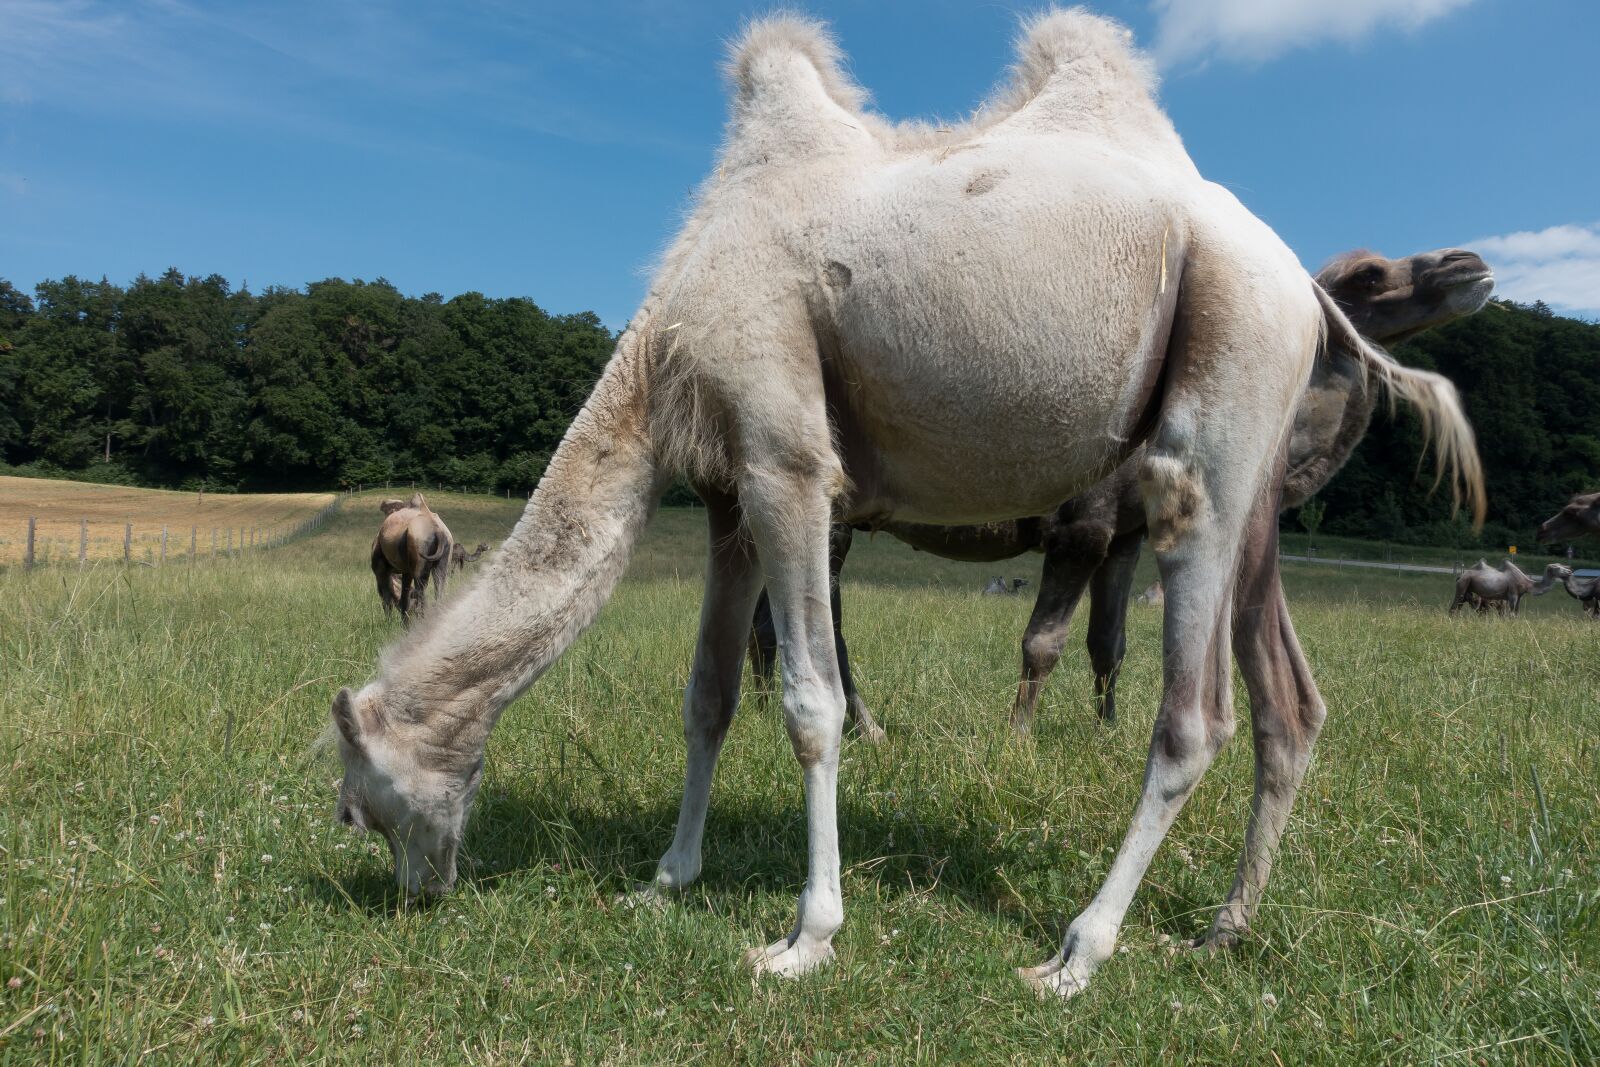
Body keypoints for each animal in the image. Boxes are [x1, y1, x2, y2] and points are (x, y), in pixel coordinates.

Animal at [370, 493, 454, 625]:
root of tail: (438, 532)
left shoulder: (380, 568)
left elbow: (387, 599)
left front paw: (389, 624)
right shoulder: (406, 571)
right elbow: (404, 598)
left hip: (419, 557)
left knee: (420, 593)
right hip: (444, 559)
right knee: (438, 589)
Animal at [749, 244, 1493, 729]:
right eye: (1370, 274)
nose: (1470, 263)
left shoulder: (1124, 534)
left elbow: (1109, 642)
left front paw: (1105, 732)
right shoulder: (1080, 527)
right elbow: (1043, 639)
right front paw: (1018, 734)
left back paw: (764, 713)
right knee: (820, 610)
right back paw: (863, 725)